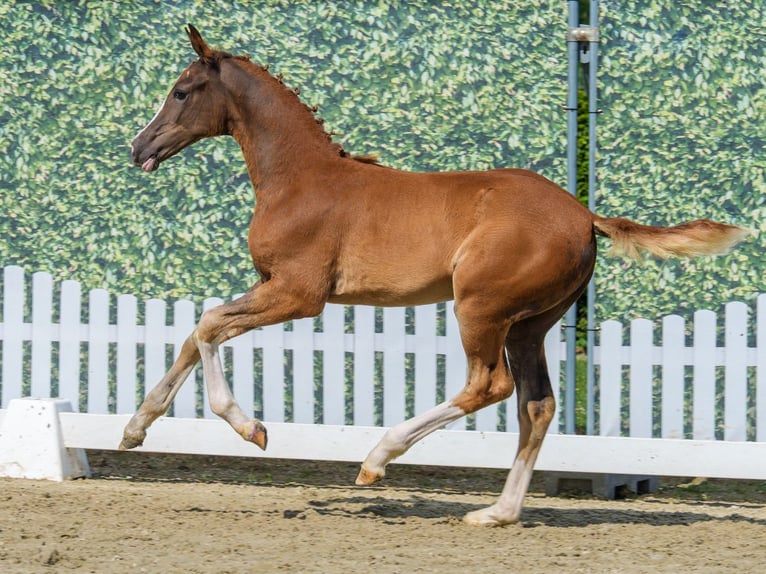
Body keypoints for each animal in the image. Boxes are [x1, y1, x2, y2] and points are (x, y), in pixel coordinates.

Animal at [122, 25, 748, 526]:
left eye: (181, 91)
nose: (138, 147)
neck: (300, 179)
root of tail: (583, 213)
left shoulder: (299, 293)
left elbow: (208, 326)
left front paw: (250, 428)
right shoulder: (271, 285)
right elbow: (195, 332)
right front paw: (134, 428)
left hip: (480, 308)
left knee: (489, 387)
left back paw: (378, 458)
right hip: (529, 324)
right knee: (536, 404)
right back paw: (497, 513)